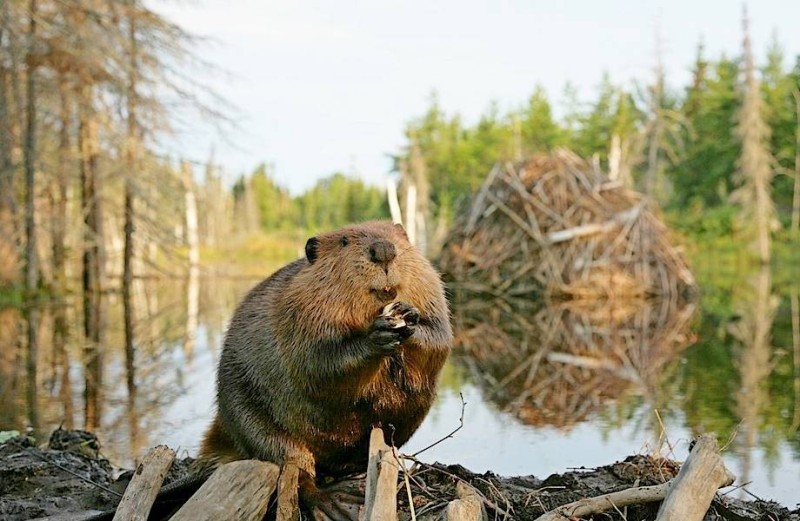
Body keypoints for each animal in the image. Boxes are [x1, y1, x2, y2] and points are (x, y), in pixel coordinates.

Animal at [198, 219, 454, 516]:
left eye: (398, 236)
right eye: (344, 241)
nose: (383, 250)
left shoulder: (430, 288)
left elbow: (438, 337)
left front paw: (409, 318)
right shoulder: (300, 311)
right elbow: (320, 364)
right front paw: (376, 335)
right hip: (253, 421)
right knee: (294, 470)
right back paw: (336, 502)